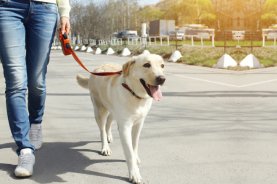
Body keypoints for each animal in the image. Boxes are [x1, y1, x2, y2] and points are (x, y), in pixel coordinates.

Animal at [76, 54, 164, 183]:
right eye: (147, 65)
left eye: (162, 66)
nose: (162, 79)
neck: (134, 95)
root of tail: (97, 69)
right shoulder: (125, 127)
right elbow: (129, 152)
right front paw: (134, 174)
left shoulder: (139, 123)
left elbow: (134, 145)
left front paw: (135, 157)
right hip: (100, 110)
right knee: (102, 129)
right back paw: (105, 147)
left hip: (113, 111)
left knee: (108, 123)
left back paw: (109, 137)